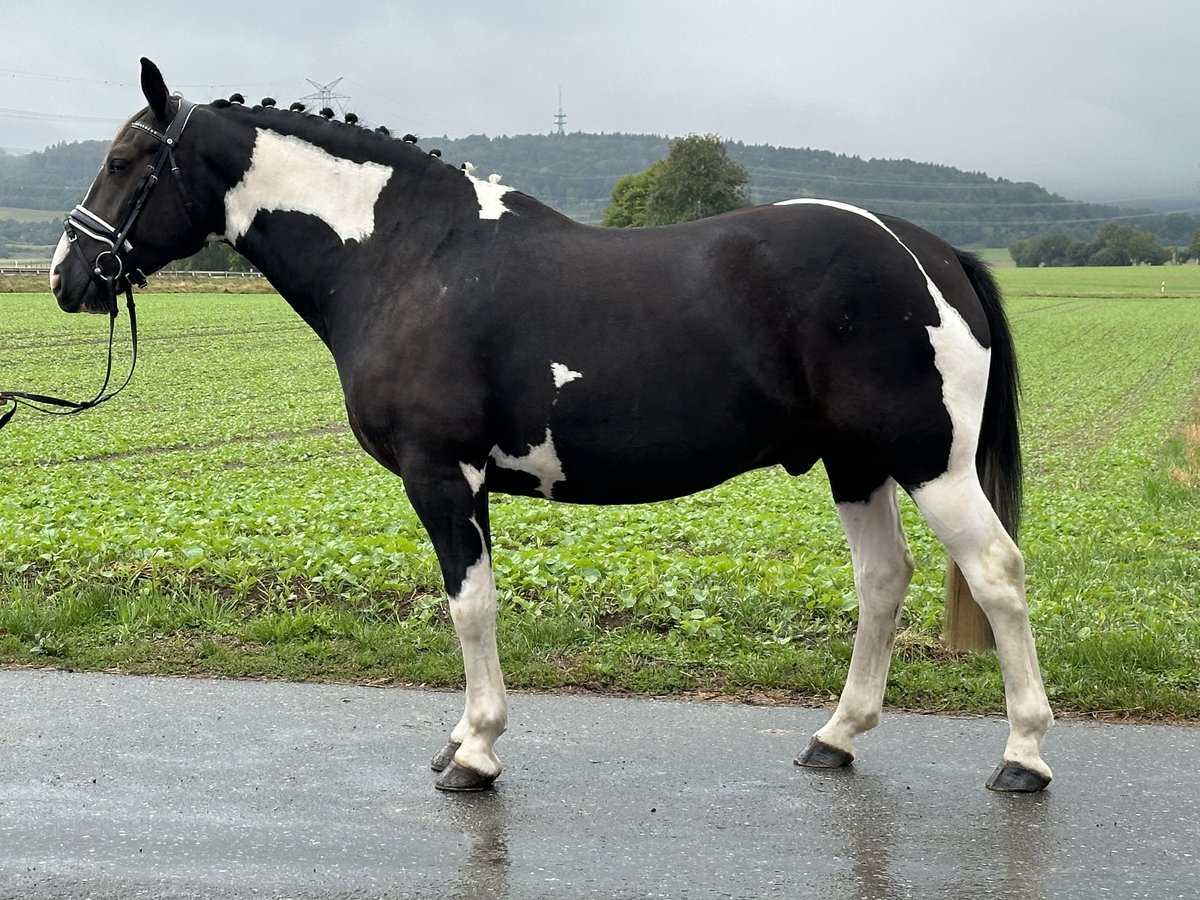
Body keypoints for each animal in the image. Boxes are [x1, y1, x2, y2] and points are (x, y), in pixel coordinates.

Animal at [44, 61, 1051, 796]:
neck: (408, 258)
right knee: (884, 580)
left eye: (127, 161)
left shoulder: (442, 474)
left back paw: (1024, 756)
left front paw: (476, 753)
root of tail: (930, 252)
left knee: (996, 574)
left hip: (931, 464)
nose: (67, 275)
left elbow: (470, 606)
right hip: (856, 463)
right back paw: (835, 739)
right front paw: (463, 739)